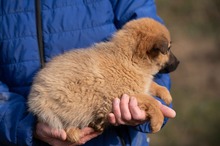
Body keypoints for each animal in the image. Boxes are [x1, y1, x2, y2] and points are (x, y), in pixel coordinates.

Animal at [27, 18, 179, 143]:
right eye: (168, 48)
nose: (178, 63)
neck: (129, 59)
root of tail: (34, 99)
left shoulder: (139, 87)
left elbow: (152, 86)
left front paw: (165, 94)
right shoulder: (124, 94)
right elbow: (152, 102)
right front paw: (157, 121)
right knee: (66, 127)